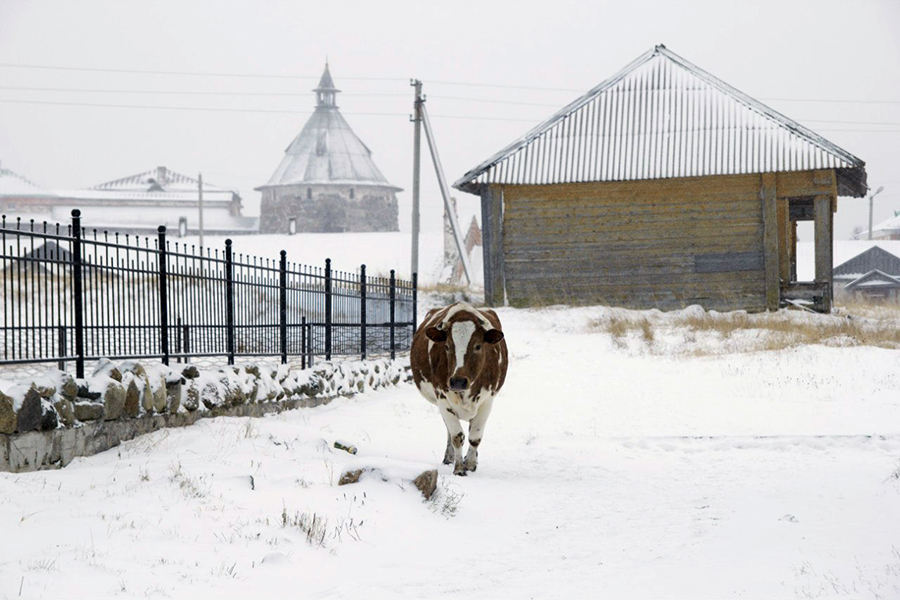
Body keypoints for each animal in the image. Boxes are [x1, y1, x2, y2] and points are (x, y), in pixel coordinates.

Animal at [412, 302, 510, 476]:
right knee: (449, 431)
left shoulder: (487, 400)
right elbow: (457, 436)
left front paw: (470, 464)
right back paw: (449, 457)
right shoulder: (442, 398)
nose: (458, 381)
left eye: (478, 346)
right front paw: (459, 468)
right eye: (447, 346)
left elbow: (475, 436)